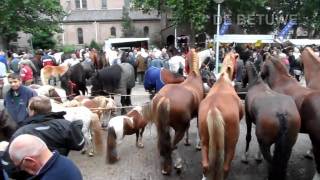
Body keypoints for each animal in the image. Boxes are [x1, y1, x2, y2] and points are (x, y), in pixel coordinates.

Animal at [198, 51, 242, 179]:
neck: (223, 79)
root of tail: (213, 108)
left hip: (205, 140)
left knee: (206, 165)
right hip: (231, 144)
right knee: (225, 167)